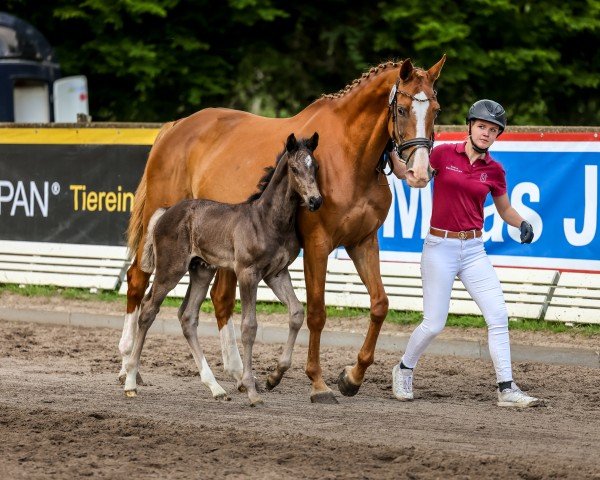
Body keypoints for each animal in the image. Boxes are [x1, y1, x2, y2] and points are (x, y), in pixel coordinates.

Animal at [123, 132, 324, 404]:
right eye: (294, 168)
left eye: (315, 167)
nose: (315, 200)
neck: (268, 220)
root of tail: (165, 212)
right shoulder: (248, 273)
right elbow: (249, 327)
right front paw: (251, 390)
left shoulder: (277, 273)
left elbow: (296, 313)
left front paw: (274, 376)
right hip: (170, 269)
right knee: (148, 309)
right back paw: (131, 381)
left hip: (201, 270)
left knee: (187, 317)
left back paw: (215, 387)